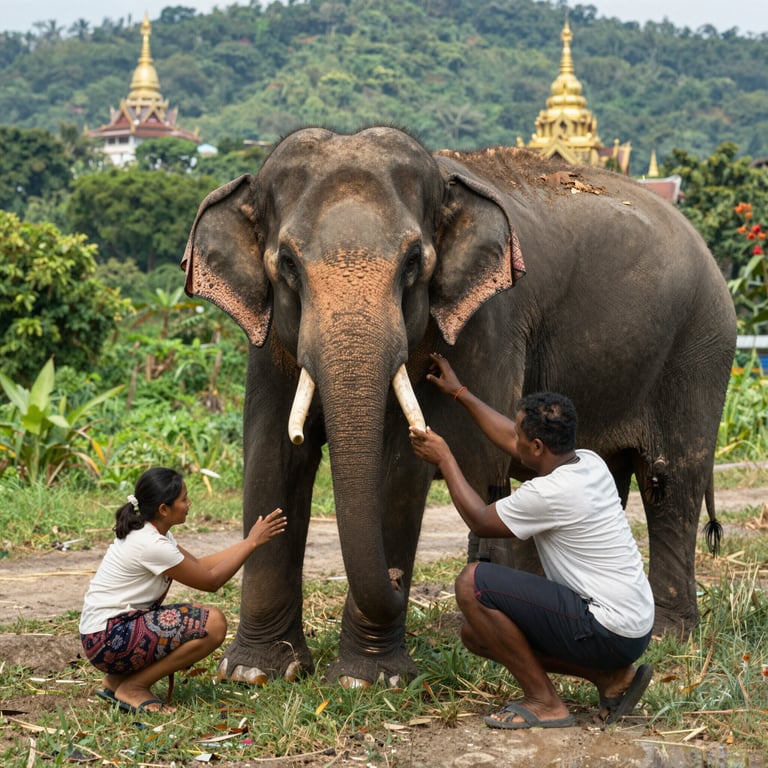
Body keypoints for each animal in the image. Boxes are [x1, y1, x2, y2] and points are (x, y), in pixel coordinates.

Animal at [181, 126, 736, 687]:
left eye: (413, 264)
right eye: (288, 265)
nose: (396, 577)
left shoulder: (486, 323)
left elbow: (404, 465)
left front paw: (367, 679)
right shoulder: (267, 338)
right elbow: (272, 454)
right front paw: (254, 673)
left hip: (700, 350)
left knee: (671, 483)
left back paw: (666, 635)